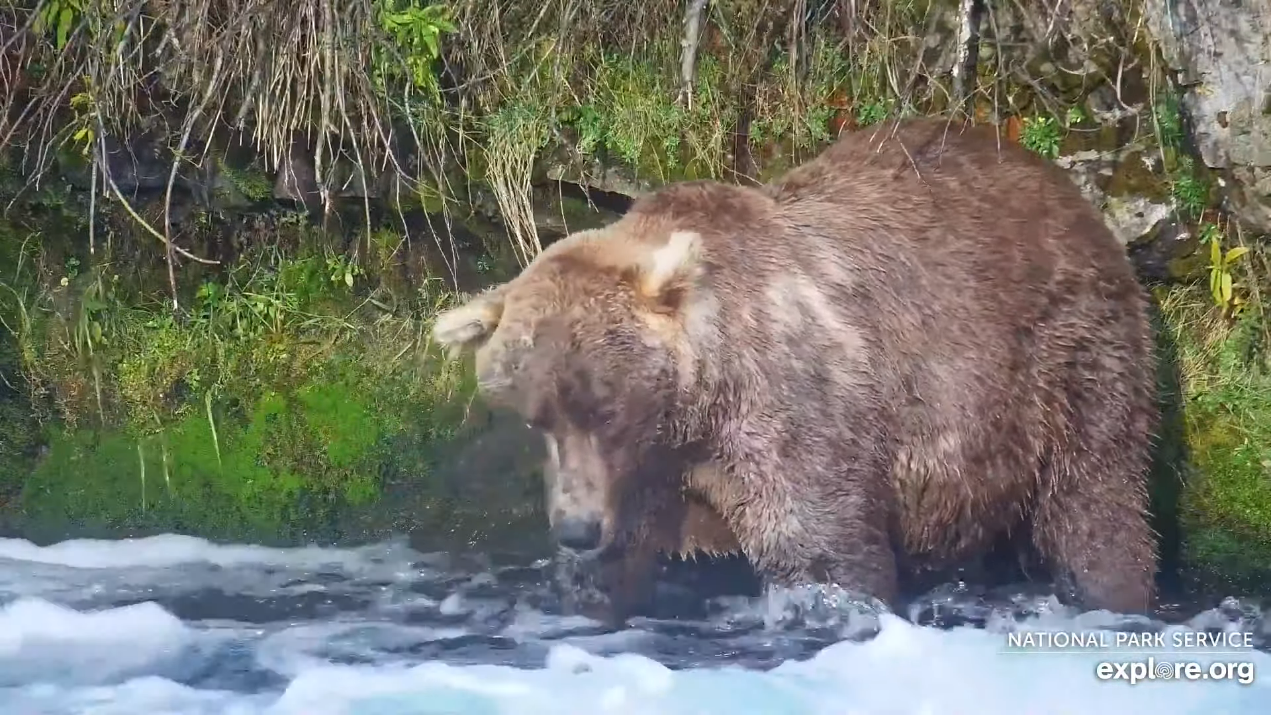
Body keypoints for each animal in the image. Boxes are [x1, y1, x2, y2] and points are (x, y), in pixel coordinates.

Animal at [429, 117, 1164, 622]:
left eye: (604, 406)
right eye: (535, 417)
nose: (575, 530)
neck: (696, 411)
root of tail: (1055, 179)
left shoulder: (792, 411)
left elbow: (820, 554)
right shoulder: (645, 472)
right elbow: (620, 563)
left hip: (1063, 351)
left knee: (1094, 498)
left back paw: (1116, 592)